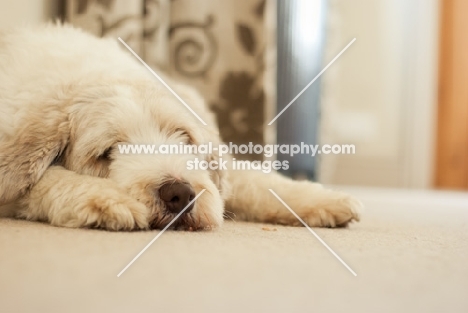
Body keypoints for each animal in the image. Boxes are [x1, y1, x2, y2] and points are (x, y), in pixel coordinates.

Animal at [0, 23, 362, 229]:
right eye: (106, 153)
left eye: (184, 137)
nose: (179, 194)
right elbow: (45, 182)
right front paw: (108, 200)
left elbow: (257, 182)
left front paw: (323, 200)